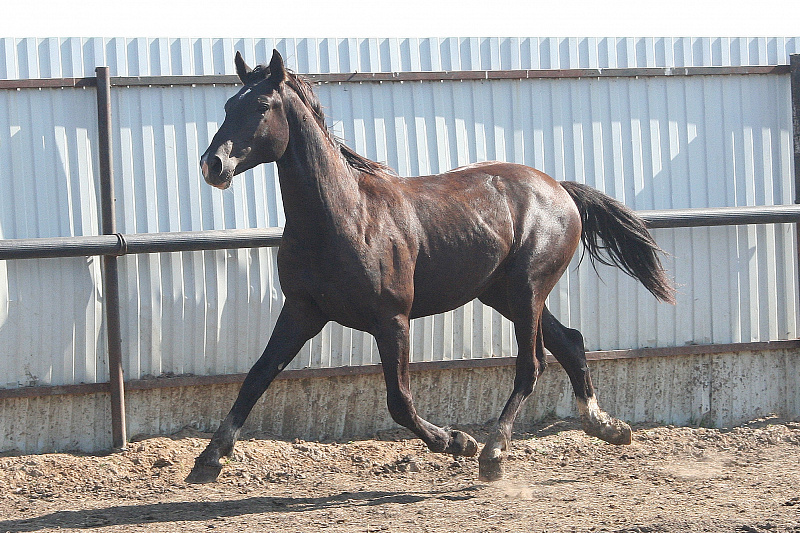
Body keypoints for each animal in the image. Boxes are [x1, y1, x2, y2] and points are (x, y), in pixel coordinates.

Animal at [186, 50, 674, 483]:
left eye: (261, 106)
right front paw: (209, 459)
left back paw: (493, 452)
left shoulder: (392, 319)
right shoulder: (302, 311)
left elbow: (400, 401)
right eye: (228, 105)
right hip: (503, 294)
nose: (213, 164)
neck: (344, 217)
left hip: (528, 289)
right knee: (570, 343)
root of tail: (559, 189)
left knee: (531, 363)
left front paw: (457, 441)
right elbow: (256, 377)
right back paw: (607, 427)